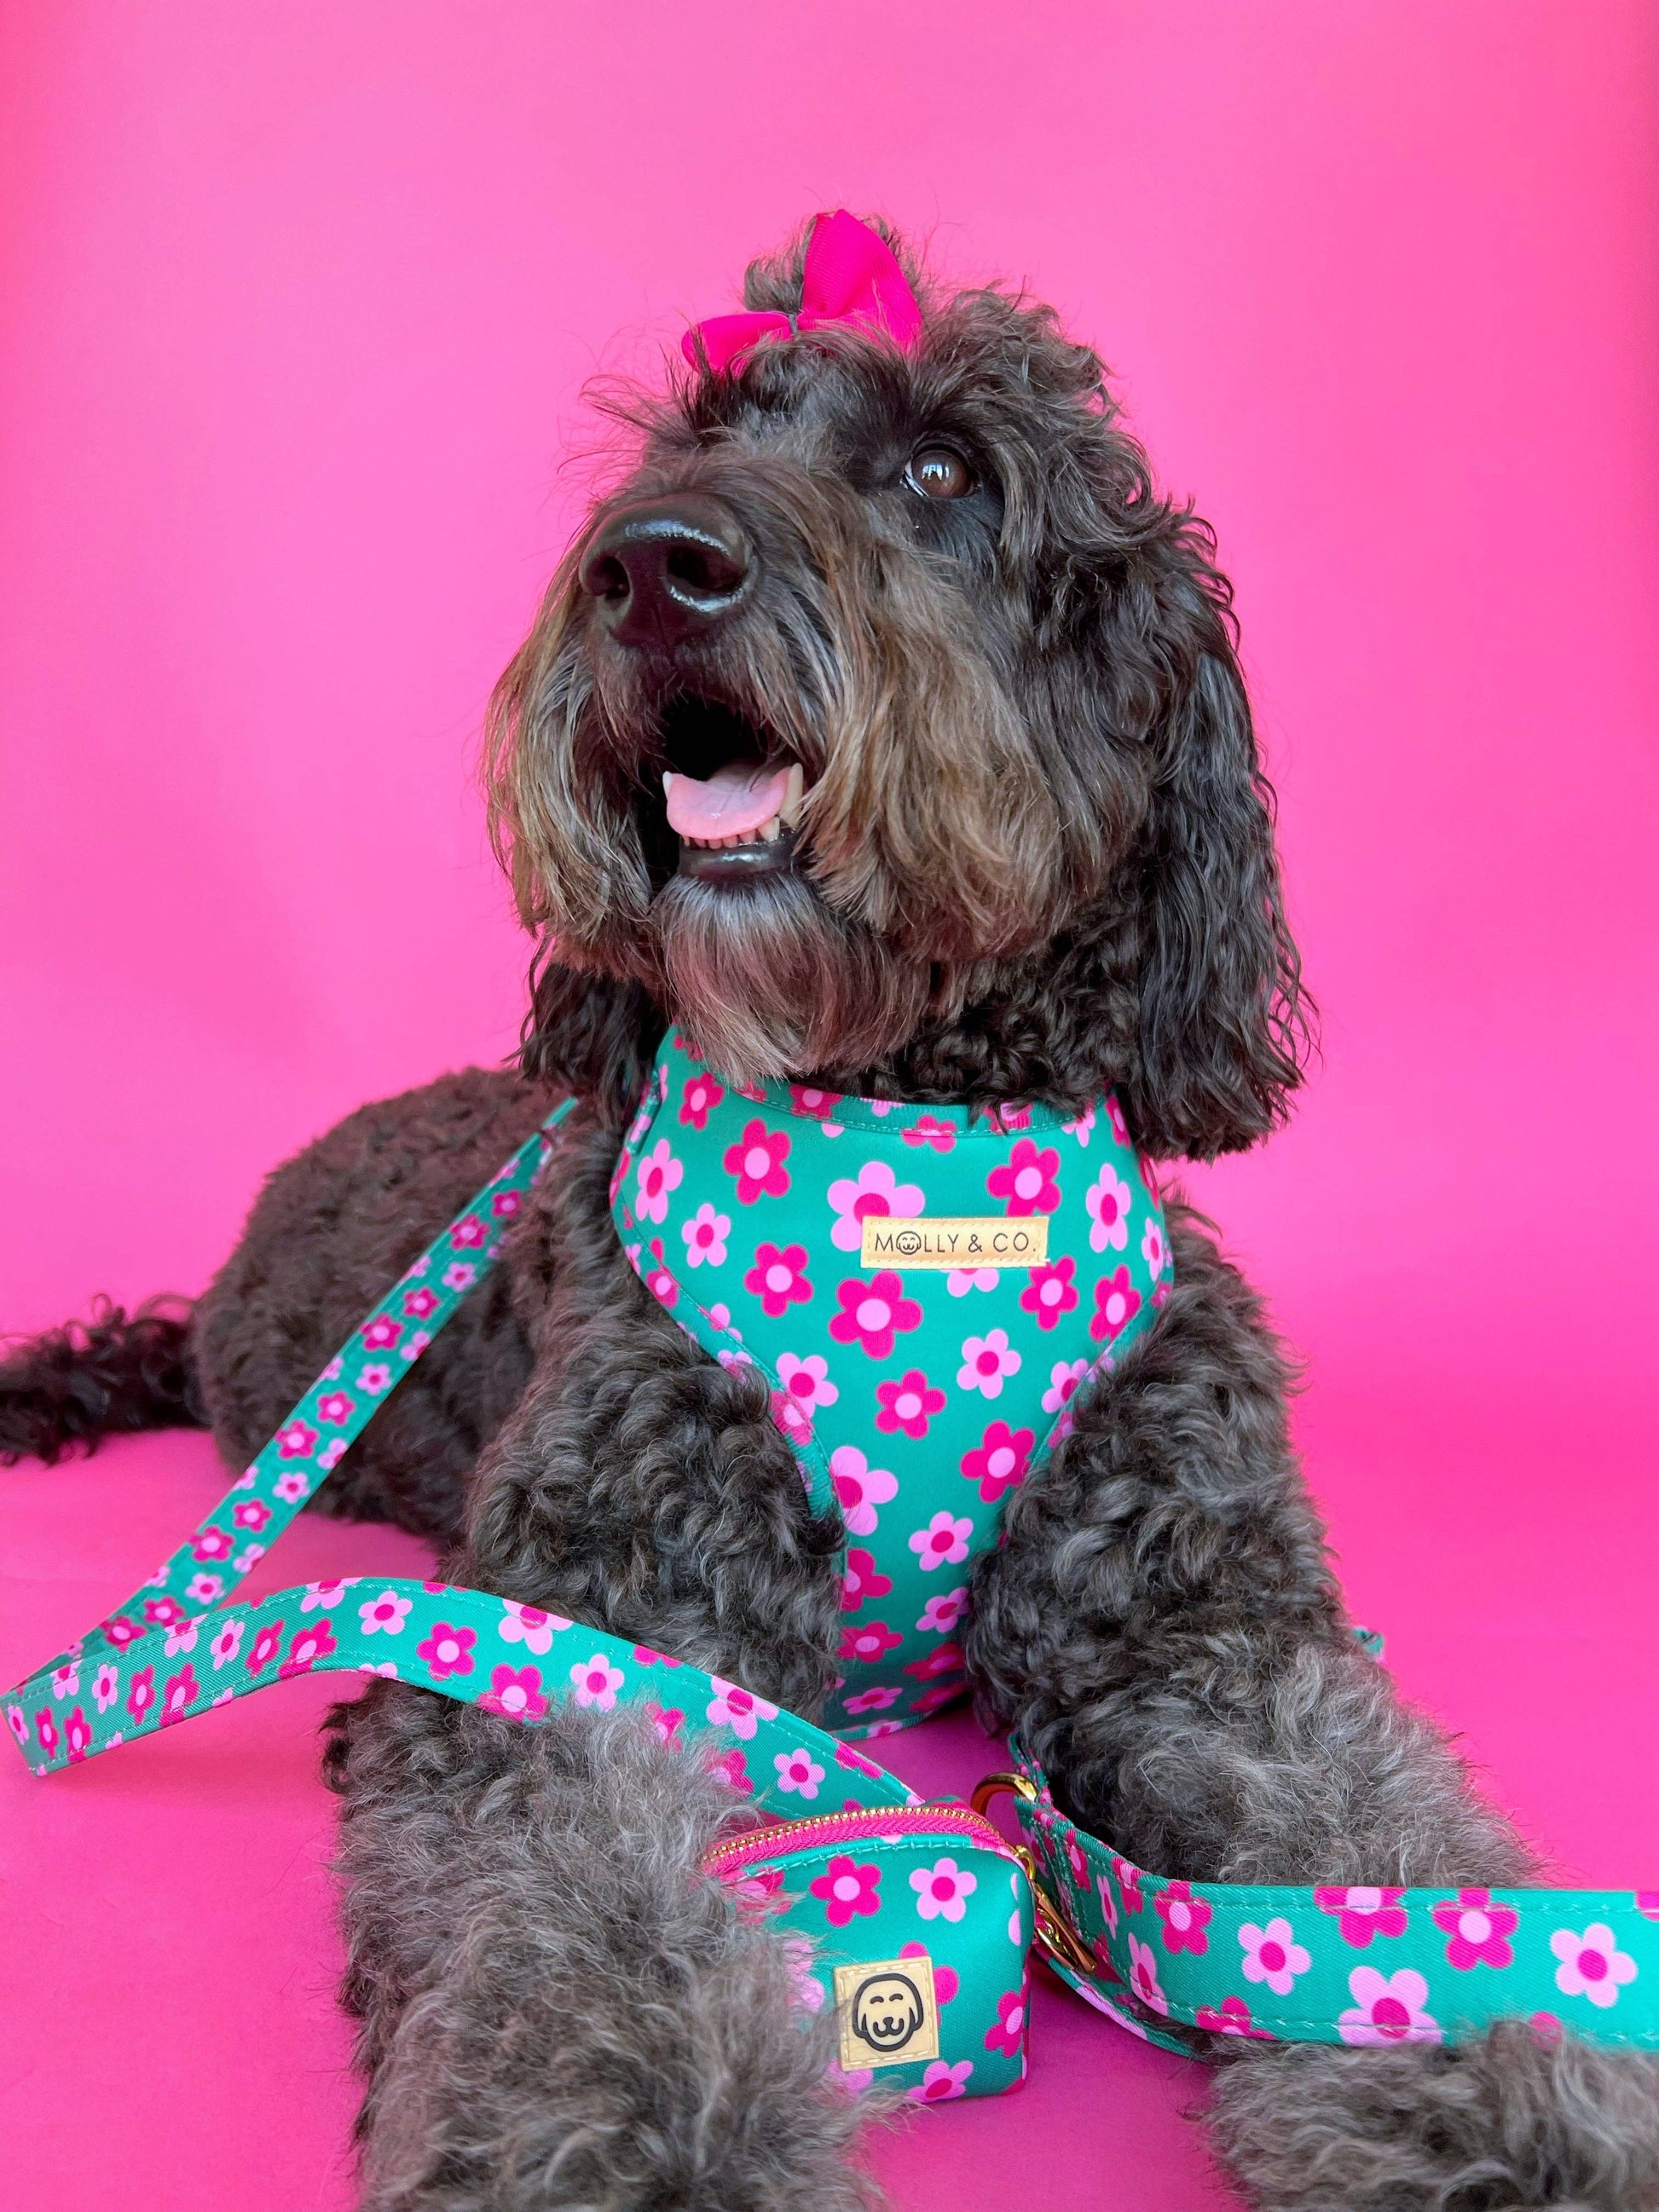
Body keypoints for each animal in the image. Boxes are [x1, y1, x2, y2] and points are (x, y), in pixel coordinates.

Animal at [6, 214, 1657, 2212]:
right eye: (682, 448)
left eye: (943, 473)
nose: (652, 563)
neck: (901, 1138)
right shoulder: (584, 1650)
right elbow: (578, 1939)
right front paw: (654, 2158)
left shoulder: (1203, 1629)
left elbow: (1385, 1867)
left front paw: (1521, 2112)